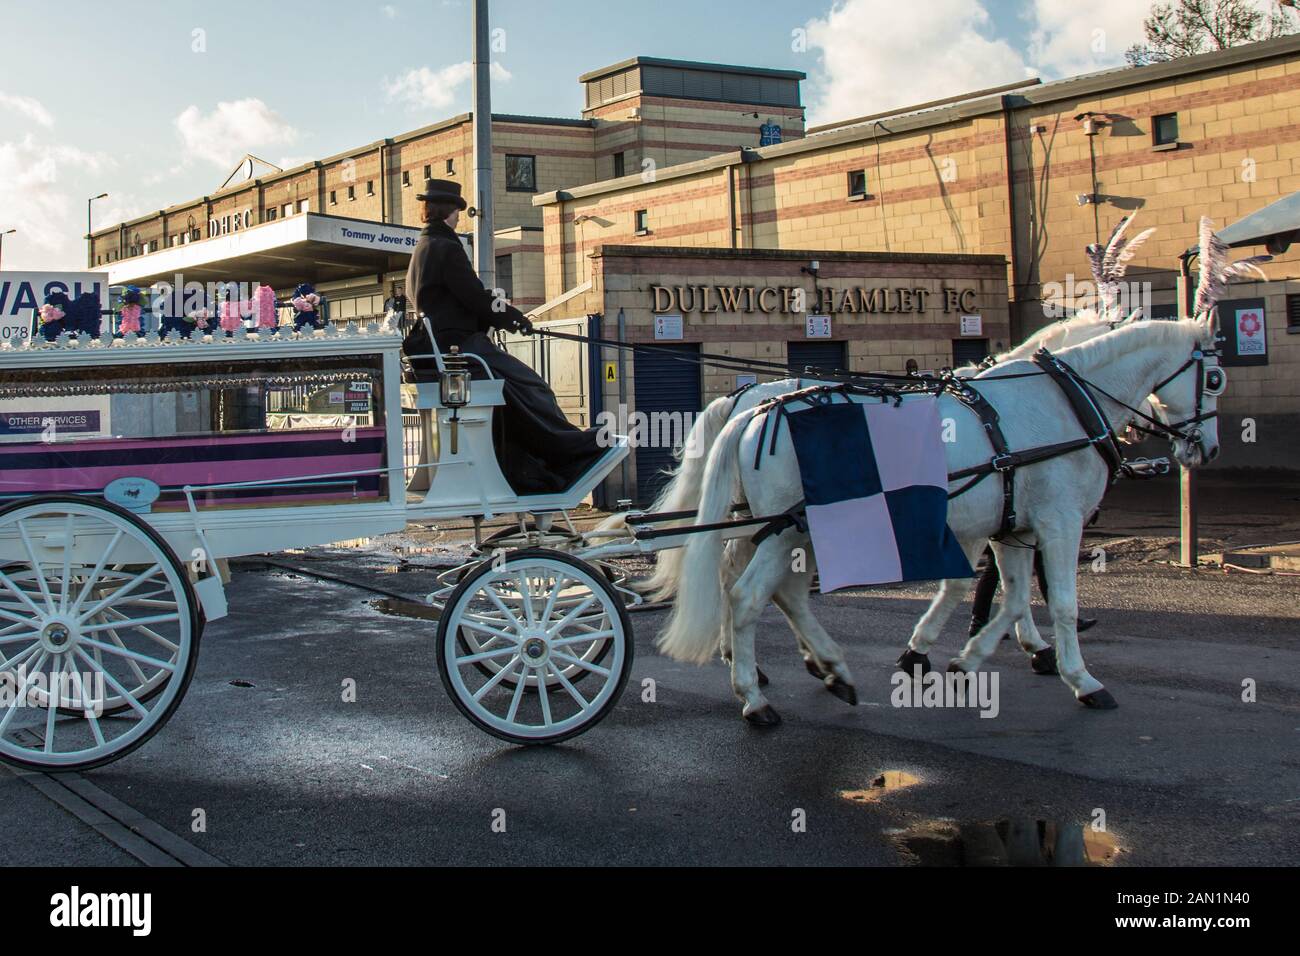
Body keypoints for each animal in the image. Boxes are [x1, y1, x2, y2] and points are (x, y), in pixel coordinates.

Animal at [655, 316, 1222, 723]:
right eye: (1214, 378)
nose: (1208, 449)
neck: (1062, 404)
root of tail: (753, 410)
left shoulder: (1007, 524)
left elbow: (1006, 594)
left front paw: (964, 656)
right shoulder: (1057, 523)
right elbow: (1053, 601)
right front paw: (1079, 677)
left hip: (790, 527)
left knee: (772, 589)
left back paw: (825, 667)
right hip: (789, 529)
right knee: (748, 593)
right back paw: (755, 695)